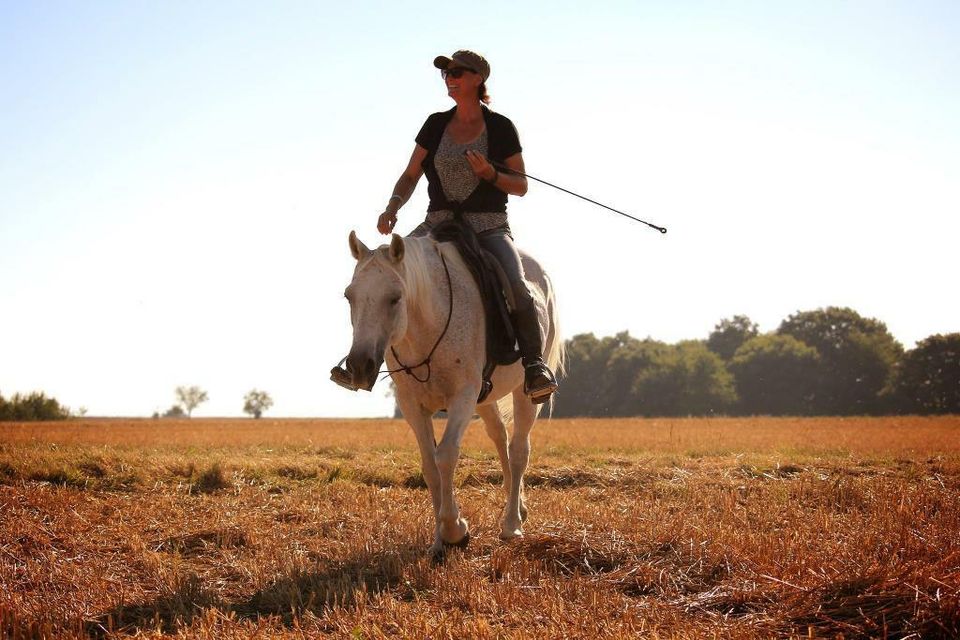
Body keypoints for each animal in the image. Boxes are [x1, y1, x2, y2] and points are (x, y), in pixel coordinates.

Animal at [342, 231, 564, 560]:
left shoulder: (463, 397)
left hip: (525, 393)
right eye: (349, 296)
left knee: (519, 450)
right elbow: (430, 467)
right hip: (485, 398)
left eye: (395, 297)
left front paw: (455, 531)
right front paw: (439, 542)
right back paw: (519, 508)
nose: (359, 366)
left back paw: (511, 524)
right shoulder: (412, 405)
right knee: (501, 439)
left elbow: (446, 455)